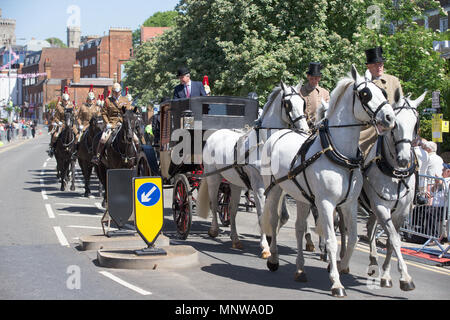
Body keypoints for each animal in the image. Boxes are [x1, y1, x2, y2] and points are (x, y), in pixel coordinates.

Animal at [198, 82, 310, 258]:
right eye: (288, 104)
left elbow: (283, 216)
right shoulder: (259, 186)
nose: (305, 130)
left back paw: (236, 239)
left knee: (232, 209)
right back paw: (214, 230)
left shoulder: (279, 186)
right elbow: (261, 213)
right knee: (214, 203)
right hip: (213, 177)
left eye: (303, 103)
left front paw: (271, 239)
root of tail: (215, 134)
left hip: (235, 183)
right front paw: (265, 246)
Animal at [258, 66, 396, 298]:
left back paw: (300, 269)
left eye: (383, 92)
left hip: (302, 197)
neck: (340, 154)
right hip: (275, 188)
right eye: (365, 94)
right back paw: (274, 258)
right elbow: (332, 240)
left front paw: (341, 267)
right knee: (274, 220)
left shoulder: (349, 204)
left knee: (299, 227)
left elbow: (353, 238)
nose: (390, 117)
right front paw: (336, 283)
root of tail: (279, 133)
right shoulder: (325, 203)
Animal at [362, 89, 426, 290]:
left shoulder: (402, 211)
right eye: (395, 123)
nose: (404, 159)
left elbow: (391, 241)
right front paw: (405, 277)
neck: (396, 174)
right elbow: (395, 238)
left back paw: (373, 261)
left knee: (370, 228)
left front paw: (387, 275)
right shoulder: (381, 207)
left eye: (415, 124)